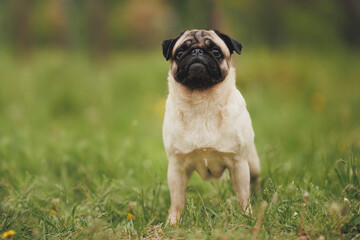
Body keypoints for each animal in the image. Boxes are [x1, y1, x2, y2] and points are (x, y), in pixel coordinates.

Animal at [162, 30, 260, 225]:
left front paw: (246, 215)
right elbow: (177, 199)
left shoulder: (239, 164)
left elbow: (243, 195)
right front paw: (174, 221)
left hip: (253, 164)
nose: (197, 52)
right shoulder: (176, 167)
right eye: (180, 52)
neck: (202, 103)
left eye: (216, 51)